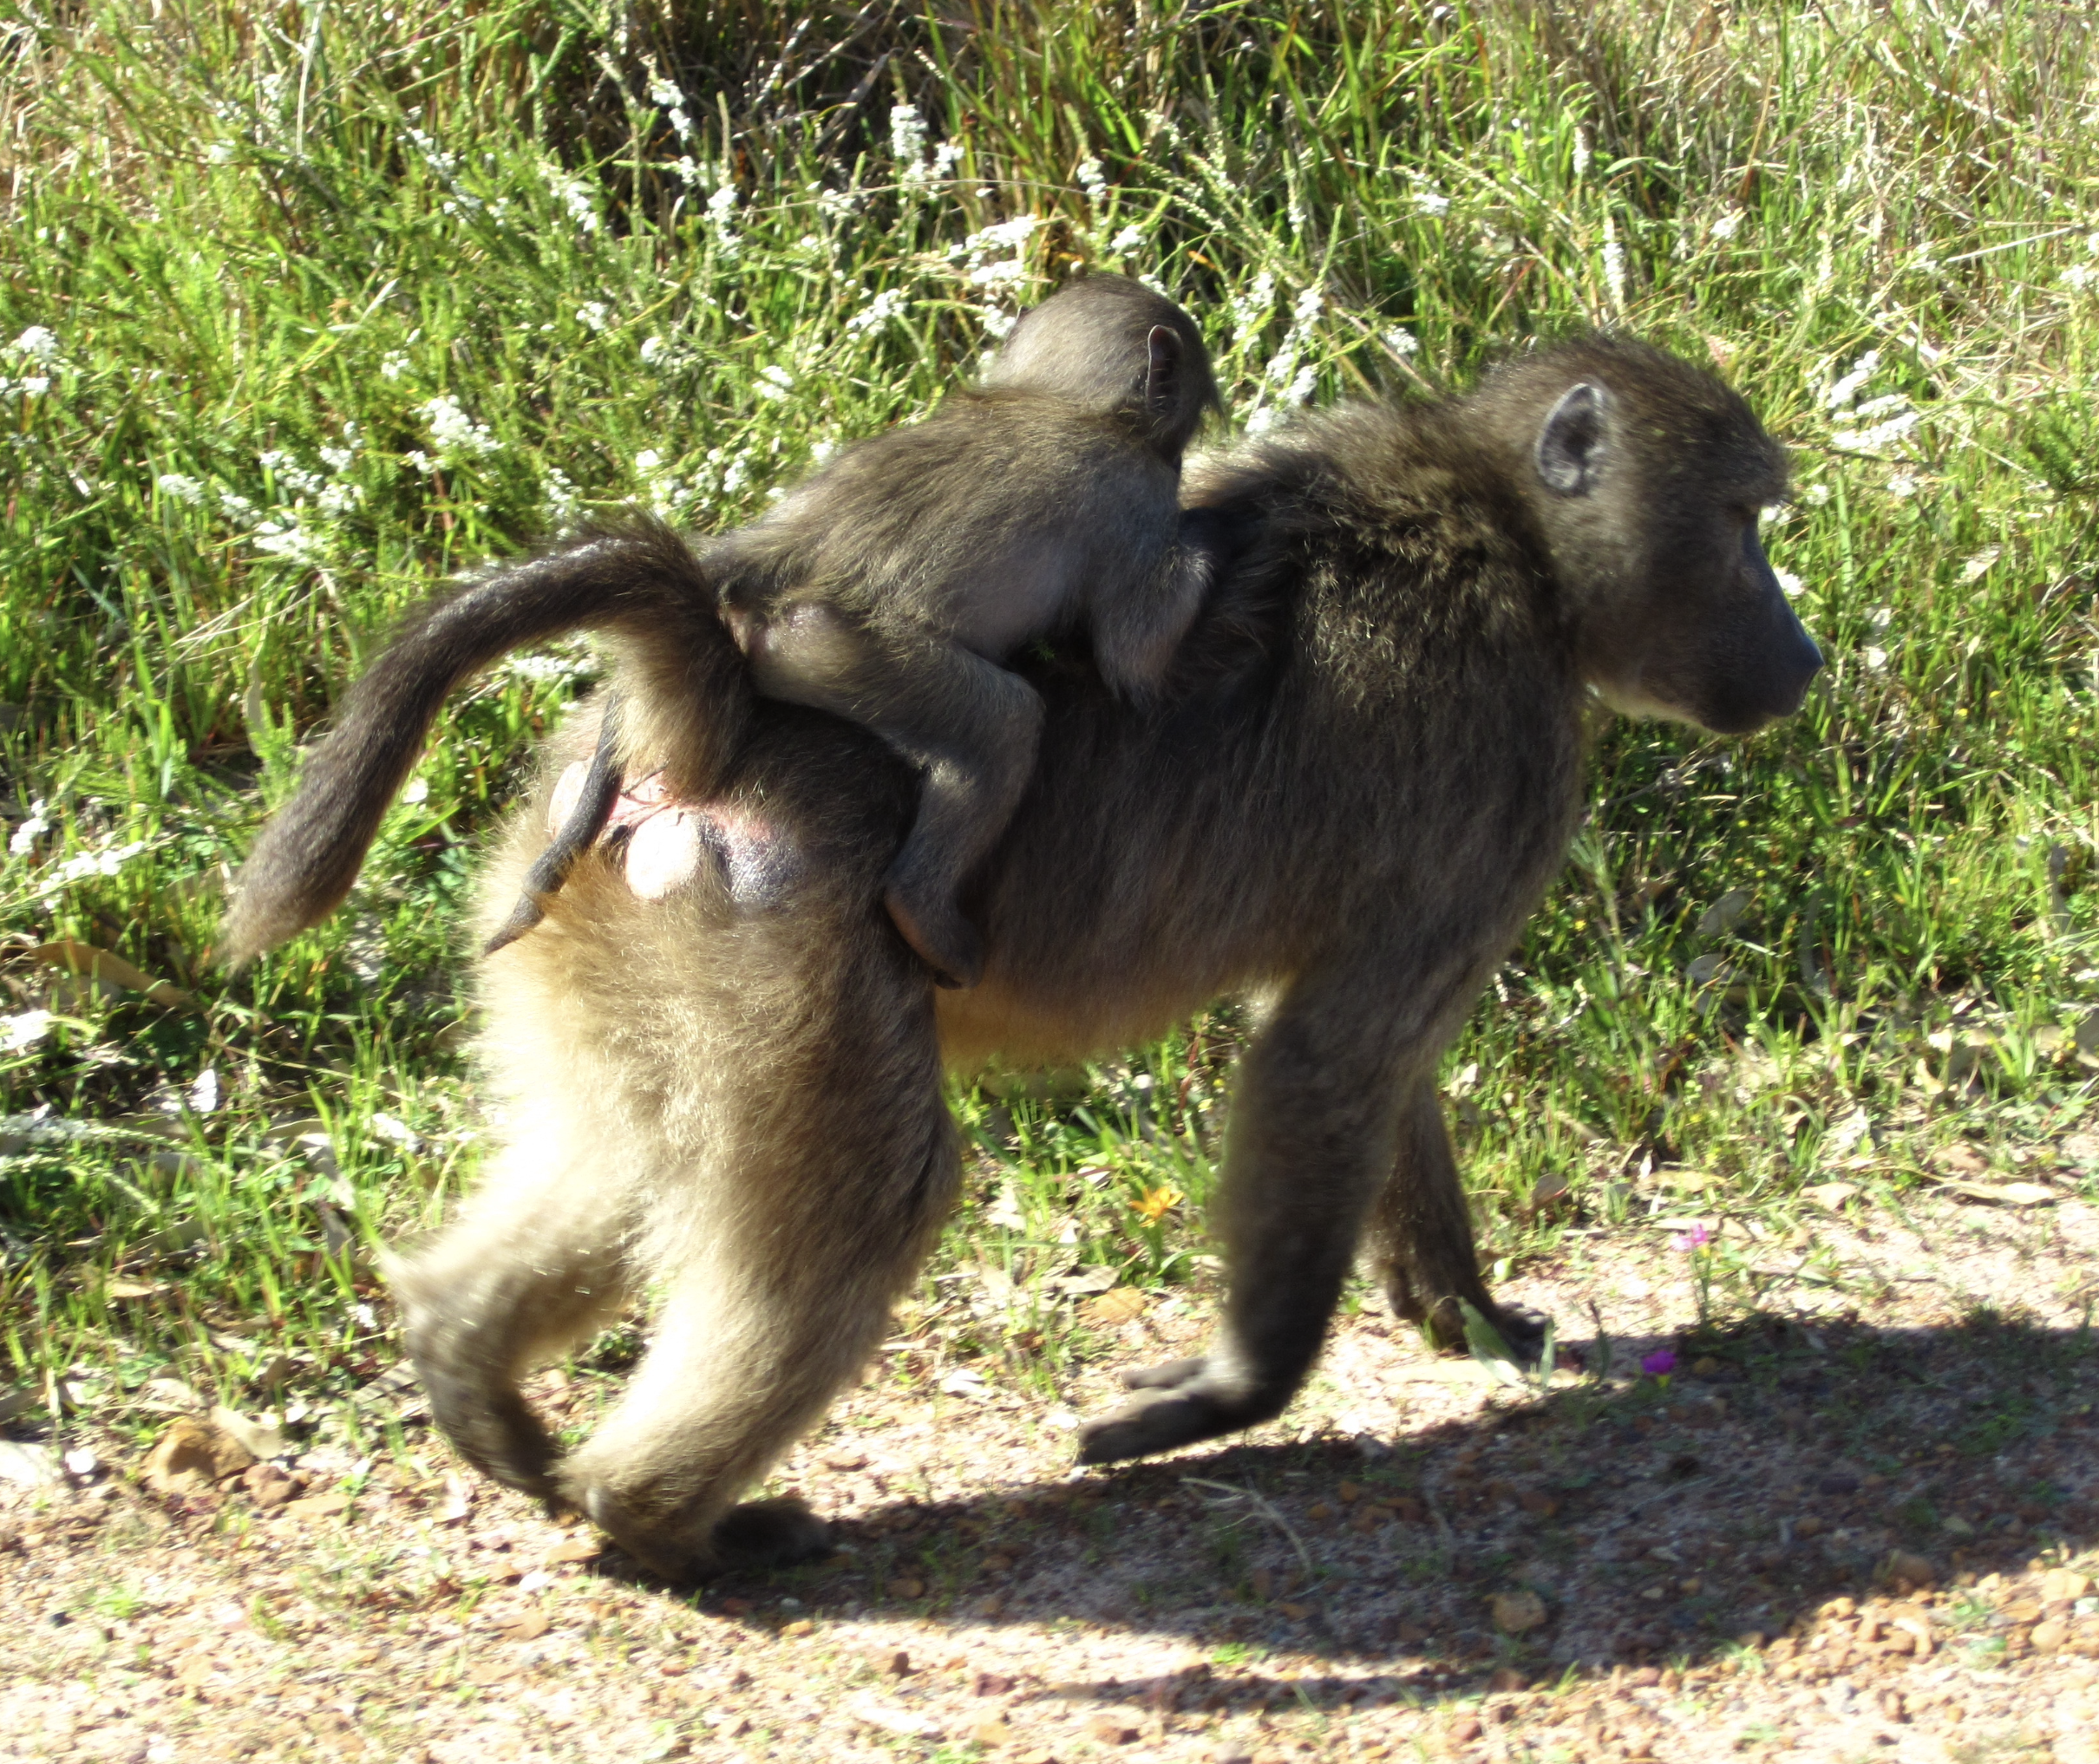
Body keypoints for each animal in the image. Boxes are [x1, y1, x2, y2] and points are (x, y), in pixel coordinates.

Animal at [485, 274, 1224, 986]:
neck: (1060, 403)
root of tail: (793, 545)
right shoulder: (1138, 503)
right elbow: (1133, 658)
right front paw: (1197, 570)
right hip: (836, 648)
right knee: (1003, 722)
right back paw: (923, 910)